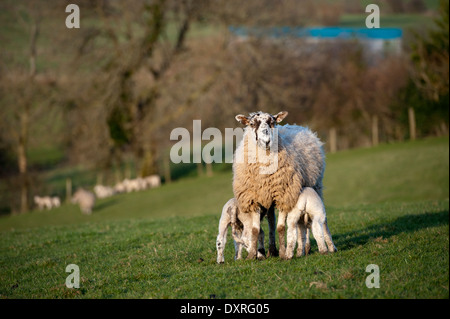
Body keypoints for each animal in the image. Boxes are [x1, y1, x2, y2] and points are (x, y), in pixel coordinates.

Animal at [232, 111, 334, 258]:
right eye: (251, 124)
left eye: (273, 122)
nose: (266, 141)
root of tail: (300, 127)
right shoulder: (254, 199)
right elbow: (256, 229)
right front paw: (252, 256)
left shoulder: (284, 195)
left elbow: (280, 227)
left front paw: (282, 253)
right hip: (270, 196)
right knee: (272, 221)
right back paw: (272, 250)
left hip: (316, 186)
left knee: (312, 221)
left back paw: (312, 247)